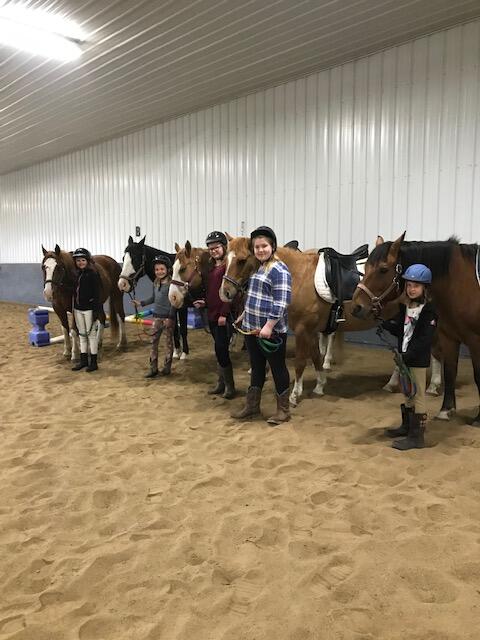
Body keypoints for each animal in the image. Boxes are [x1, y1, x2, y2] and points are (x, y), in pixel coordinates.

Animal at [219, 235, 401, 406]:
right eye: (226, 259)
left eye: (242, 260)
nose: (225, 293)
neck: (298, 277)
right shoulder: (311, 330)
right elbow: (315, 357)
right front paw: (319, 386)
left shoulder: (302, 329)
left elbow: (300, 362)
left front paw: (294, 395)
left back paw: (391, 384)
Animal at [351, 233, 480, 424]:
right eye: (365, 267)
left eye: (383, 269)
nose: (356, 307)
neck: (461, 282)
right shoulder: (449, 337)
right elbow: (450, 372)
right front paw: (446, 410)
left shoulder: (475, 340)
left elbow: (478, 376)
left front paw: (478, 418)